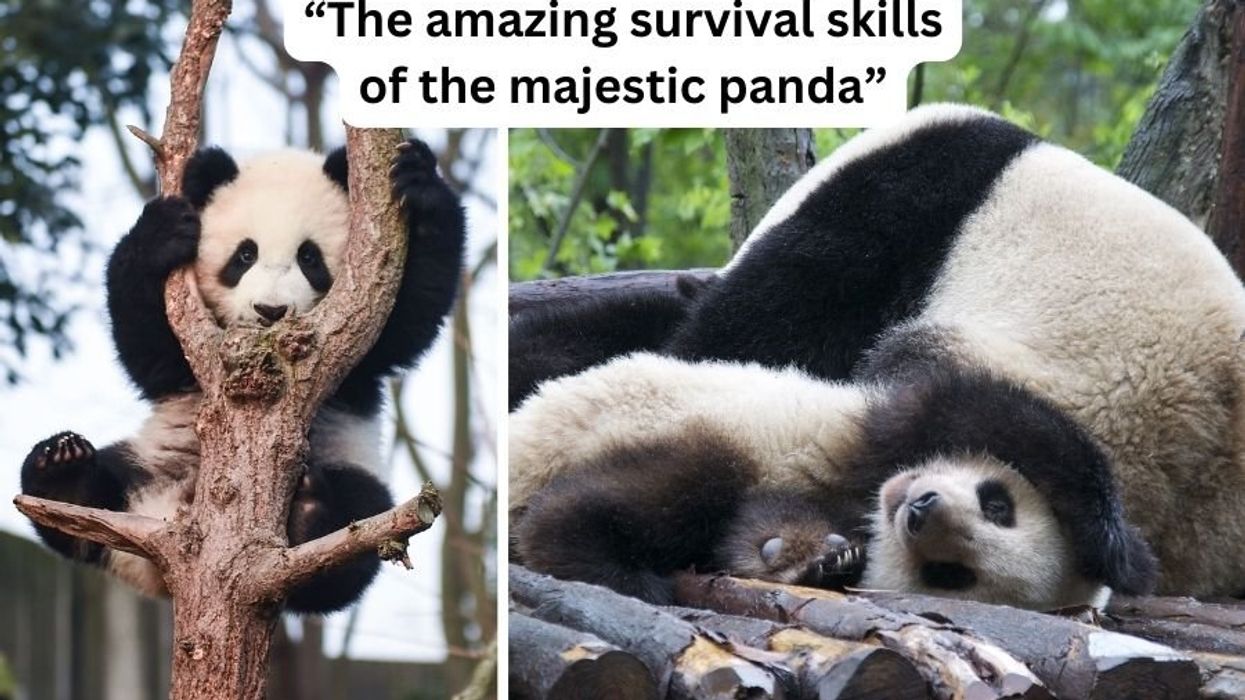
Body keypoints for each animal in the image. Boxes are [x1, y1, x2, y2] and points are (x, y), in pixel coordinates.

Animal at [20, 139, 465, 614]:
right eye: (245, 255)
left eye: (309, 257)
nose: (270, 310)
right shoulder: (186, 357)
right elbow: (146, 346)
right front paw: (161, 234)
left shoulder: (361, 353)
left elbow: (409, 317)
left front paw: (418, 181)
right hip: (149, 462)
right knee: (83, 496)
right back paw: (64, 471)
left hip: (350, 464)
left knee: (357, 529)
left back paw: (312, 515)